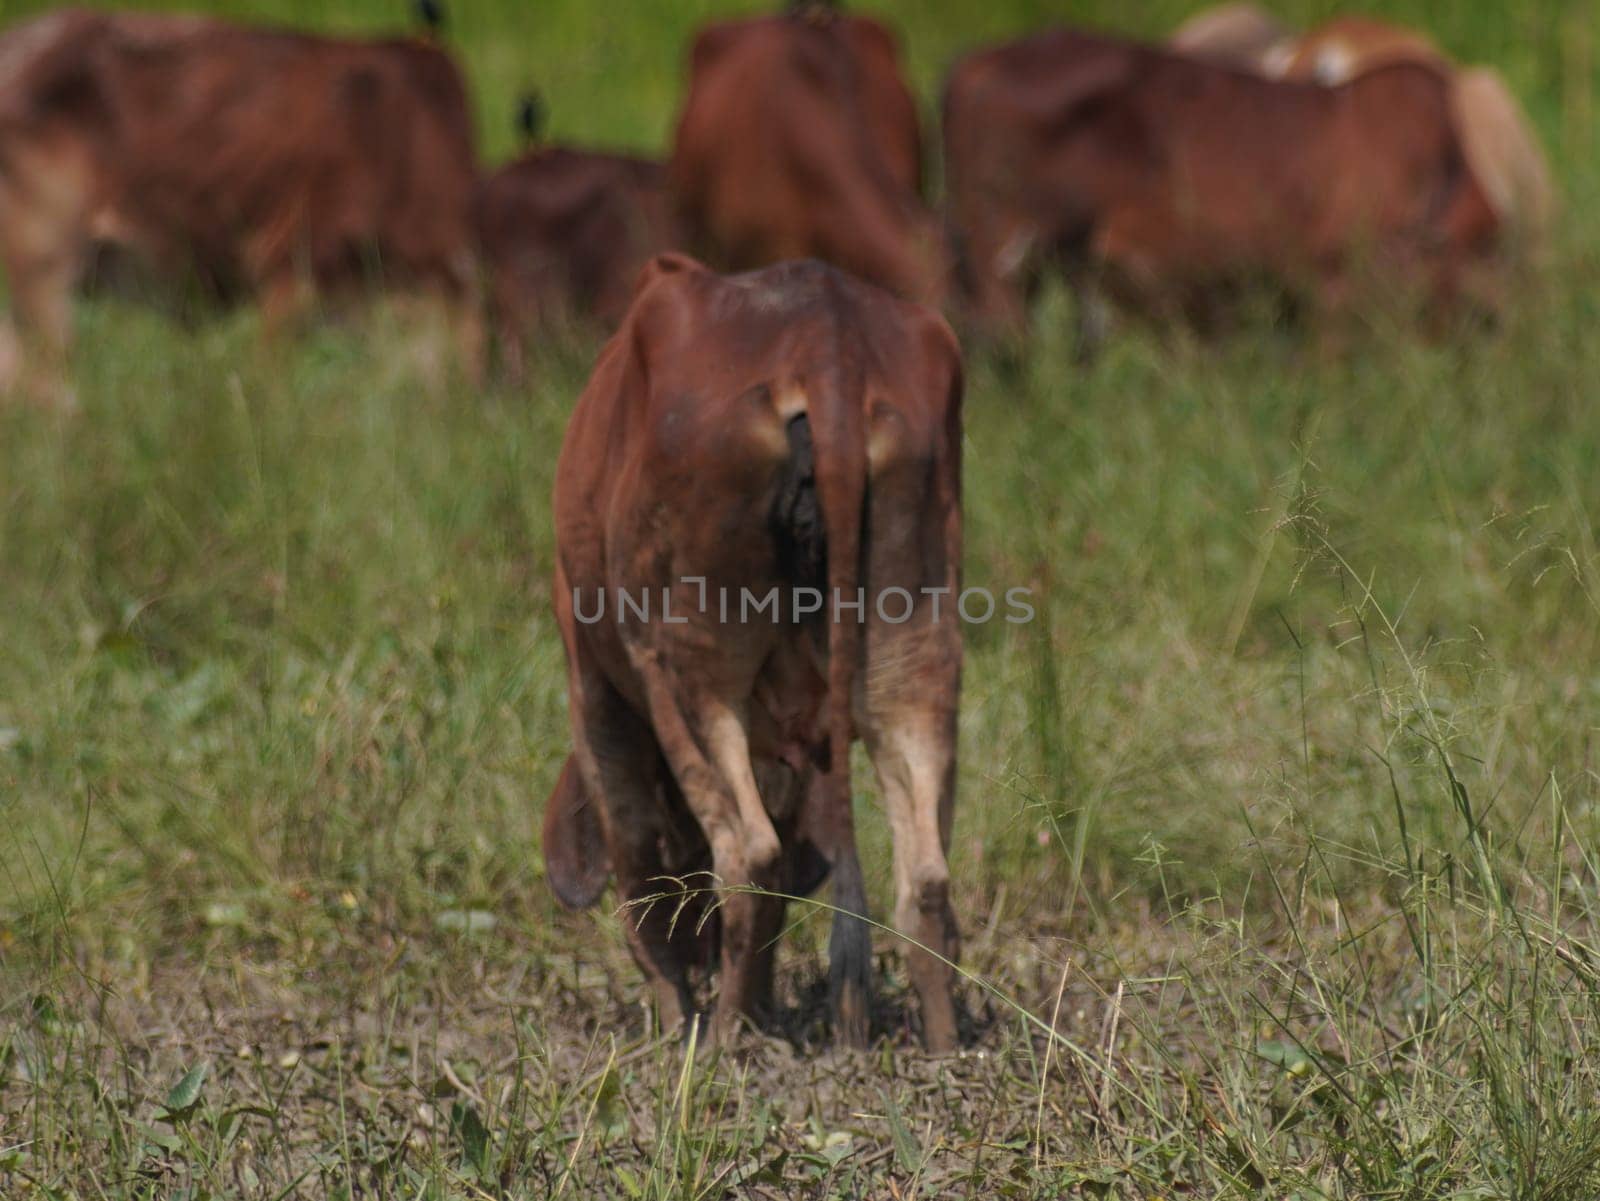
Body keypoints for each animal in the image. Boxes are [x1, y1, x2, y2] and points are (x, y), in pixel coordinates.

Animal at [544, 254, 960, 1049]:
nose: (701, 953)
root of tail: (828, 337)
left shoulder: (593, 689)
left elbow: (637, 860)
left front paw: (678, 1017)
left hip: (681, 670)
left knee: (747, 851)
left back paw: (725, 1038)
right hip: (916, 649)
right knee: (924, 874)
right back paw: (946, 1043)